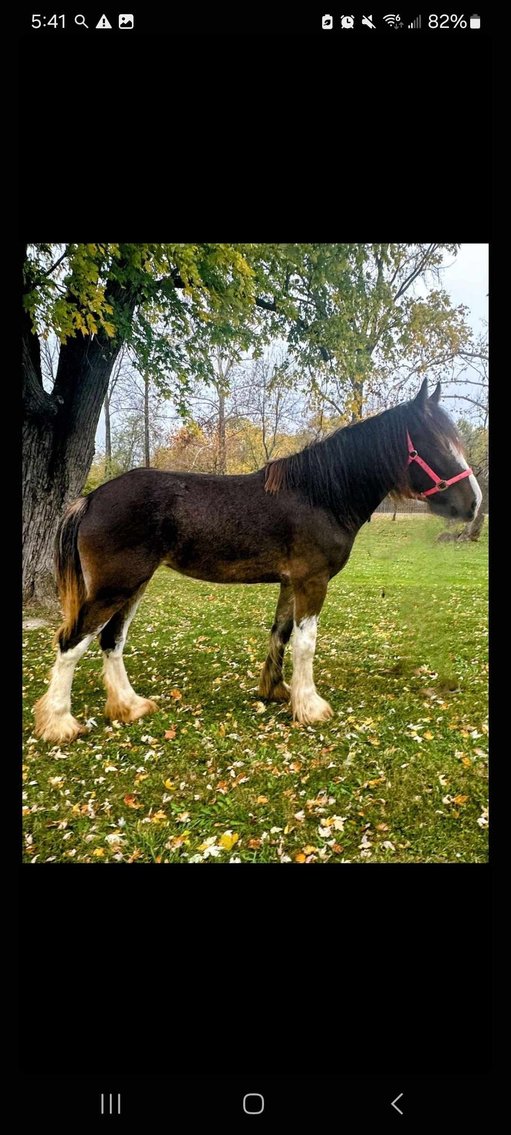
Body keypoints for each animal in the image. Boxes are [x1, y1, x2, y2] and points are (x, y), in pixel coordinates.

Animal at [34, 378, 481, 744]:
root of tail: (92, 498)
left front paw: (278, 691)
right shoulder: (311, 581)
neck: (320, 496)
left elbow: (281, 633)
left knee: (111, 641)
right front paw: (310, 706)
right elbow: (305, 642)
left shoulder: (290, 582)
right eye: (435, 445)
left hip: (134, 586)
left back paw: (130, 706)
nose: (475, 503)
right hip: (115, 587)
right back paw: (60, 724)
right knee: (72, 643)